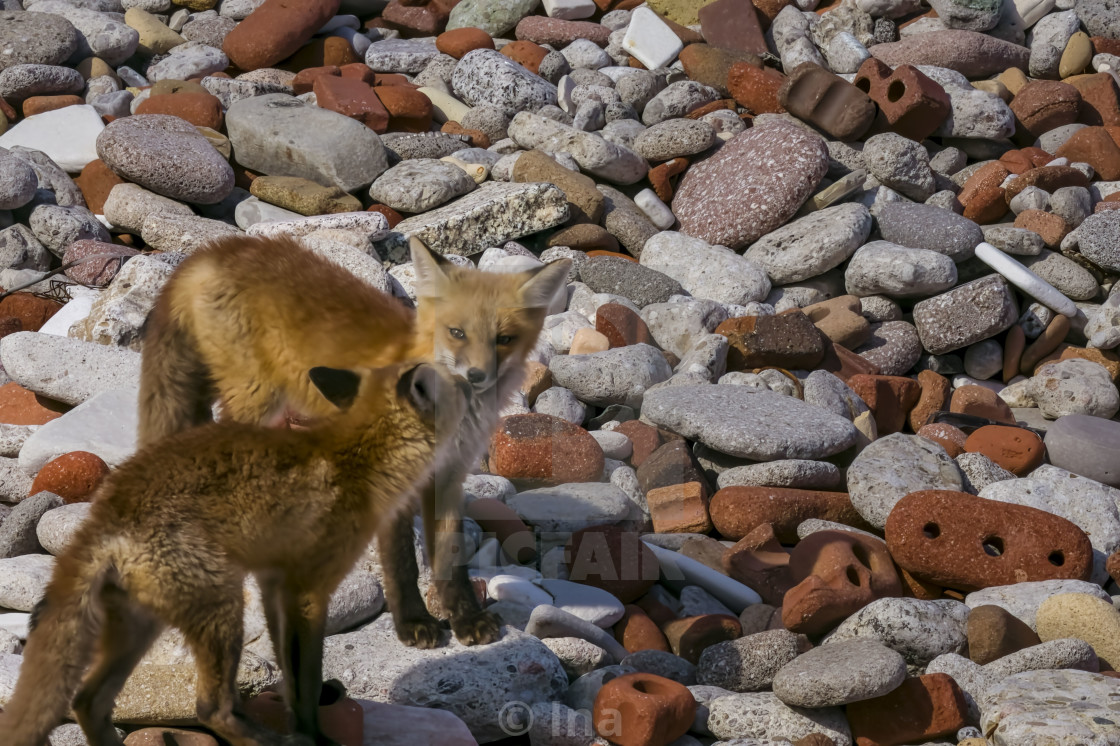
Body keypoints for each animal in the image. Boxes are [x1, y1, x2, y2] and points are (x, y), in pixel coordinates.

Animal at [0, 360, 468, 743]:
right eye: (457, 384)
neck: (359, 458)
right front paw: (313, 738)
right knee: (210, 709)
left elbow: (292, 681)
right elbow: (306, 680)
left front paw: (305, 727)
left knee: (88, 702)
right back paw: (273, 743)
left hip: (143, 625)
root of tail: (104, 514)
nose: (474, 379)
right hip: (221, 610)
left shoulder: (274, 586)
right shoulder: (307, 590)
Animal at [140, 236, 573, 645]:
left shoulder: (449, 477)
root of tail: (221, 246)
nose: (477, 376)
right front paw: (413, 623)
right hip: (256, 401)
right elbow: (401, 562)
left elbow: (450, 561)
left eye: (504, 338)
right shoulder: (395, 475)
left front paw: (467, 619)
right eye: (457, 333)